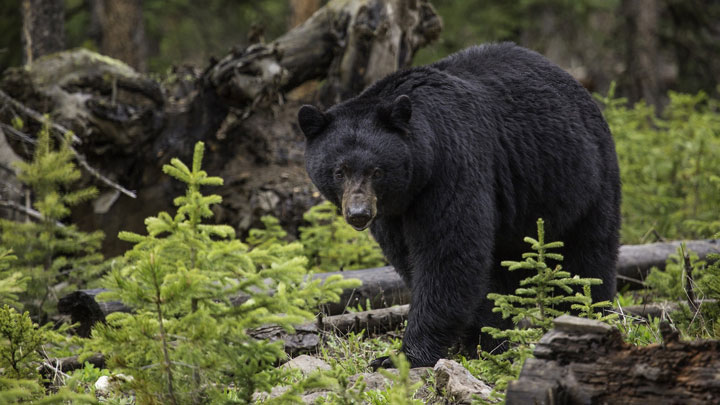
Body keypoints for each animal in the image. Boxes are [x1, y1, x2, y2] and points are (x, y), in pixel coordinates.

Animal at [297, 43, 621, 368]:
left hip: (582, 181)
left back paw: (587, 316)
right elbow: (411, 257)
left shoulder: (452, 166)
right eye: (339, 171)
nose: (359, 214)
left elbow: (449, 254)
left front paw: (404, 356)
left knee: (587, 257)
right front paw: (479, 338)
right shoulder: (393, 211)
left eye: (377, 171)